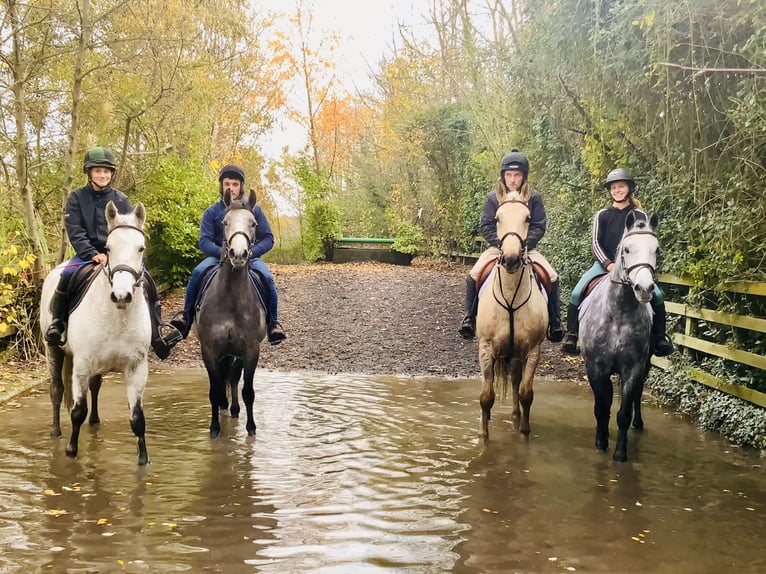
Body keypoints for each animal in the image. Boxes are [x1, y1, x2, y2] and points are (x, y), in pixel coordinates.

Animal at [39, 201, 152, 465]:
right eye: (108, 248)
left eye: (141, 248)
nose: (121, 295)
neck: (119, 317)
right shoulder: (81, 365)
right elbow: (77, 411)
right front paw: (71, 451)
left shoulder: (137, 369)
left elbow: (137, 418)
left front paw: (143, 460)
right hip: (53, 350)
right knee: (56, 391)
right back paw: (56, 432)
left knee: (95, 386)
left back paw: (95, 422)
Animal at [195, 189, 267, 438]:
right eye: (225, 222)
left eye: (253, 223)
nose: (238, 254)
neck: (230, 300)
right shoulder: (209, 351)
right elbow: (214, 391)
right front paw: (214, 429)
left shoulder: (251, 351)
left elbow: (248, 392)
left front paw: (251, 429)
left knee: (234, 378)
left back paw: (234, 409)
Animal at [475, 188, 548, 440]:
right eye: (498, 218)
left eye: (527, 218)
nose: (511, 259)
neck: (510, 298)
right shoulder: (486, 348)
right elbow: (486, 396)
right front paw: (483, 436)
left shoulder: (533, 350)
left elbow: (526, 393)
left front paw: (524, 432)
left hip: (517, 354)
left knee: (517, 381)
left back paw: (517, 416)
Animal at [579, 211, 660, 462]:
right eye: (626, 249)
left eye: (657, 249)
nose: (644, 289)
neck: (619, 312)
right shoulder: (596, 367)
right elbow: (601, 408)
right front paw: (601, 441)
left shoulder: (633, 368)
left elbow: (623, 413)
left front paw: (620, 454)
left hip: (645, 365)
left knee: (637, 395)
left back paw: (638, 423)